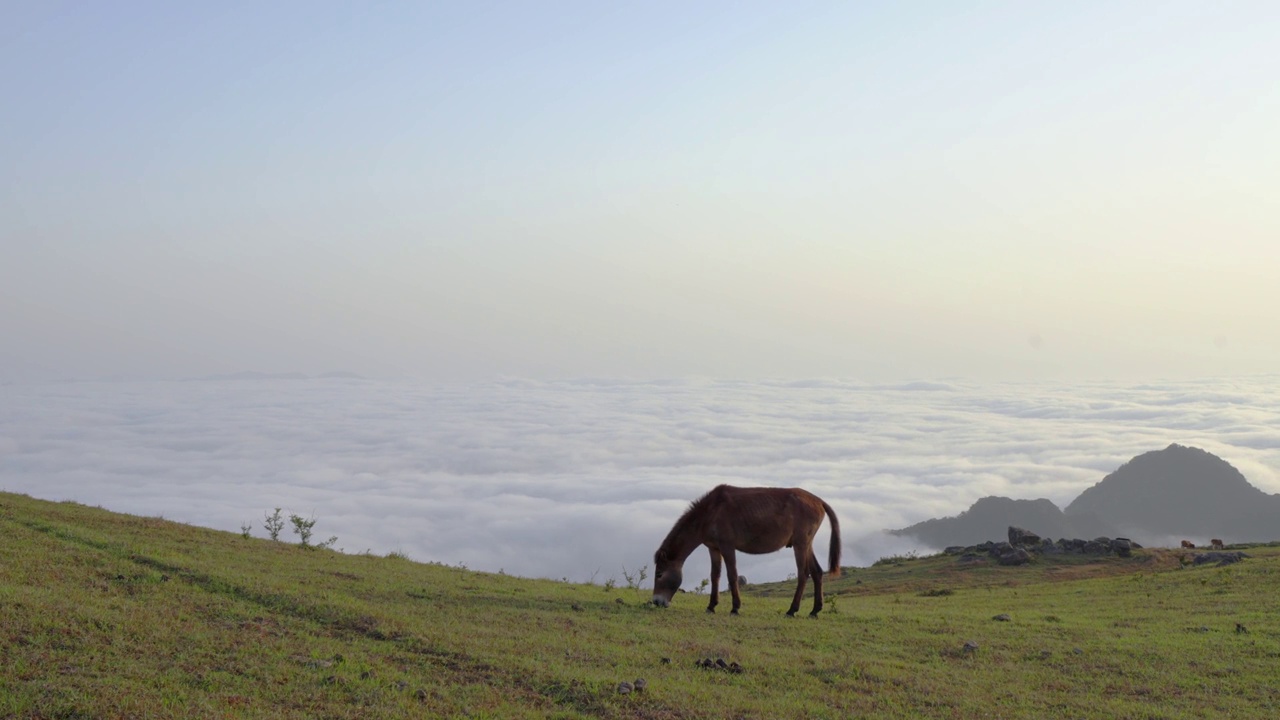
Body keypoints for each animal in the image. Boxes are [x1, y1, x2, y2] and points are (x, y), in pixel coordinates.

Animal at [650, 484, 839, 614]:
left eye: (659, 574)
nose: (656, 602)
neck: (710, 512)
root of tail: (819, 501)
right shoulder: (714, 548)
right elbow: (715, 576)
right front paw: (711, 606)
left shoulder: (727, 546)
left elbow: (732, 575)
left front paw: (735, 608)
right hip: (807, 544)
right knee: (817, 572)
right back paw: (815, 610)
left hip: (800, 545)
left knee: (803, 574)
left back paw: (792, 610)